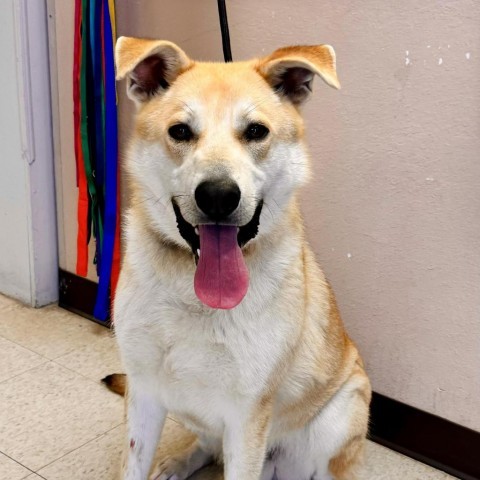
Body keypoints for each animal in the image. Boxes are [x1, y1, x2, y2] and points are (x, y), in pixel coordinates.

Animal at [111, 37, 372, 480]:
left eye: (255, 132)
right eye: (180, 131)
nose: (218, 196)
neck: (194, 296)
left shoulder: (247, 416)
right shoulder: (143, 391)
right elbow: (131, 466)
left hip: (342, 411)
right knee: (206, 445)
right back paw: (177, 462)